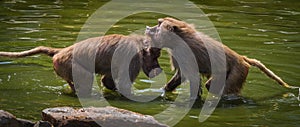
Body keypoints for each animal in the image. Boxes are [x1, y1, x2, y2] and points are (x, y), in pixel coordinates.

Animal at [0, 34, 162, 95]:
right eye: (156, 56)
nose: (159, 68)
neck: (139, 45)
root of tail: (61, 52)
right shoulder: (133, 58)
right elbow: (123, 83)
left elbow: (108, 80)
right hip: (66, 63)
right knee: (85, 77)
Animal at [145, 16, 298, 98]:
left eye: (158, 24)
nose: (148, 28)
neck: (179, 37)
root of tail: (242, 58)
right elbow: (181, 76)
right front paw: (163, 91)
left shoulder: (183, 53)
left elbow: (193, 78)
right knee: (211, 85)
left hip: (238, 71)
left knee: (227, 90)